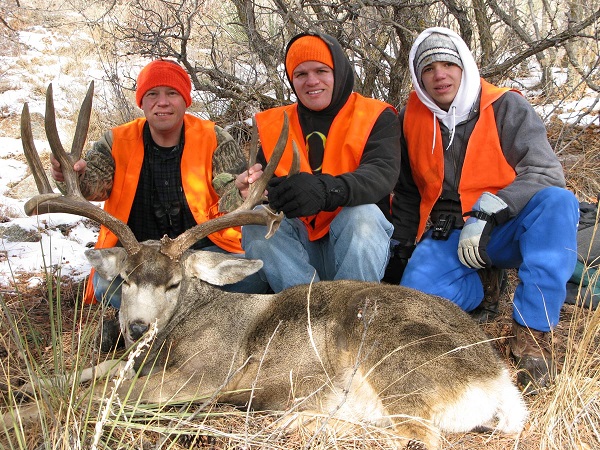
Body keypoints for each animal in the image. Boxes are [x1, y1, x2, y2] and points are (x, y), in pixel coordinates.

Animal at [3, 82, 524, 448]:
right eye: (126, 279)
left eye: (175, 284)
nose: (136, 327)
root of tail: (500, 381)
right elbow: (89, 373)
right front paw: (34, 382)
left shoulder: (200, 375)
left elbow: (96, 394)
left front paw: (14, 416)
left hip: (397, 360)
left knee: (416, 435)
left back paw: (293, 419)